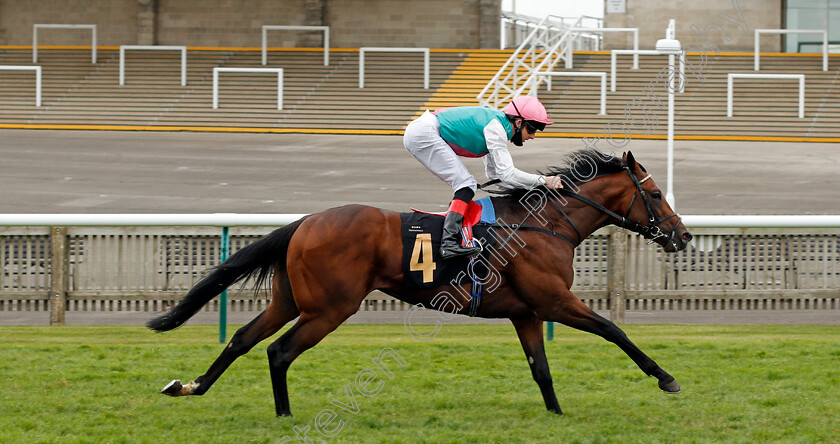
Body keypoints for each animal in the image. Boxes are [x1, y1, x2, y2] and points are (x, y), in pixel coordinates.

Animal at [148, 149, 692, 416]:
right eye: (656, 193)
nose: (682, 235)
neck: (545, 225)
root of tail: (304, 222)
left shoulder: (527, 312)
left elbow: (541, 370)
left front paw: (556, 416)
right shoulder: (555, 301)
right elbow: (614, 330)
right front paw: (666, 377)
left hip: (290, 300)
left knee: (241, 339)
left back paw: (189, 386)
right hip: (329, 308)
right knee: (279, 352)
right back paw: (284, 415)